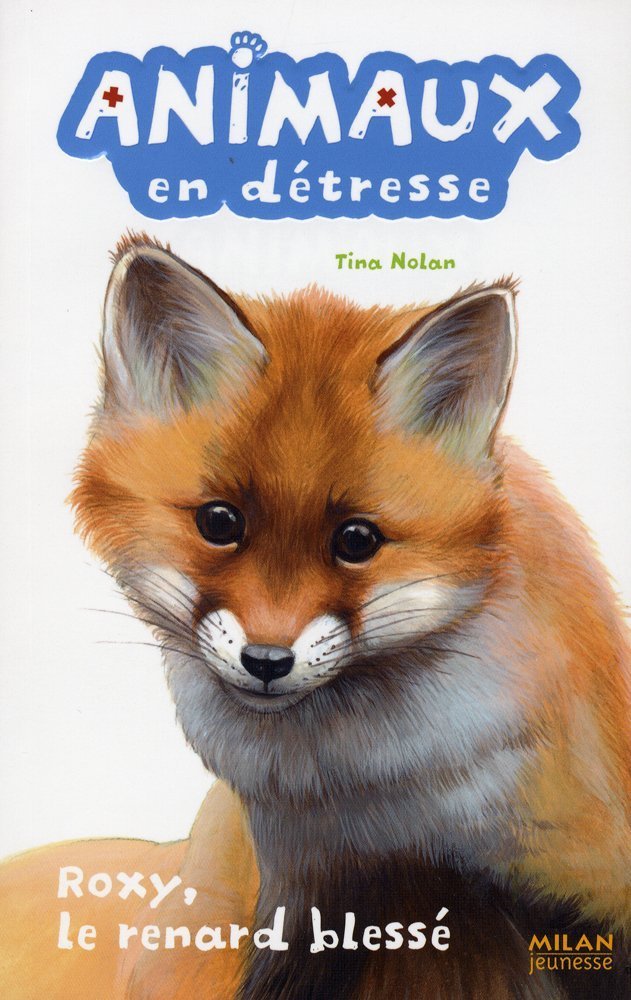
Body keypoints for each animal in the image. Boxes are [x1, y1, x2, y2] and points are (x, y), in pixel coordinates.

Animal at [1, 233, 630, 1000]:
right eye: (220, 523)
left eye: (356, 539)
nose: (267, 661)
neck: (379, 803)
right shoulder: (305, 901)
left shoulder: (578, 886)